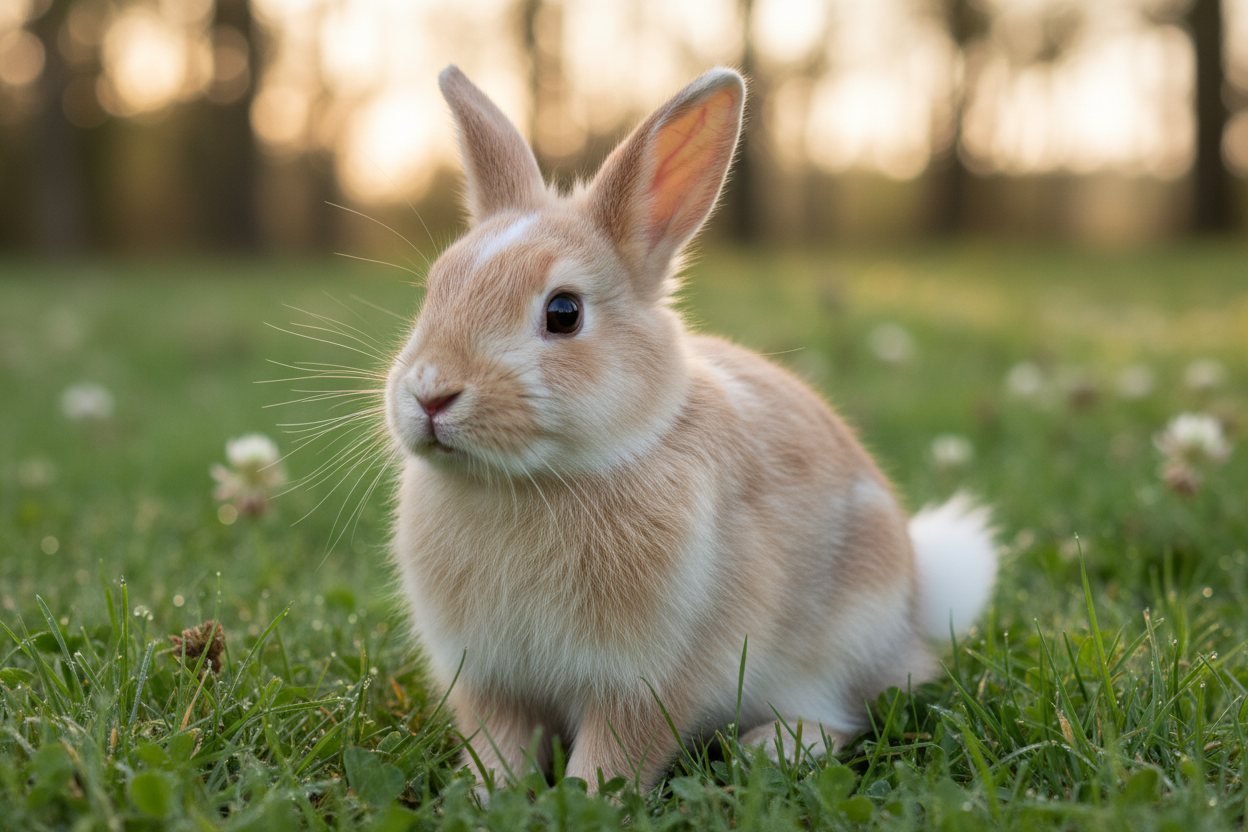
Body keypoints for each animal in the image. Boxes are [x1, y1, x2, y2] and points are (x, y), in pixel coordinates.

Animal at [384, 64, 997, 795]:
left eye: (563, 312)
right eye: (433, 289)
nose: (430, 392)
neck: (532, 482)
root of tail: (916, 603)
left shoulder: (649, 680)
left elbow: (615, 755)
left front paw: (588, 800)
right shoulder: (490, 681)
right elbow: (499, 747)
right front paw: (486, 798)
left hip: (843, 641)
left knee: (844, 717)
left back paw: (771, 750)